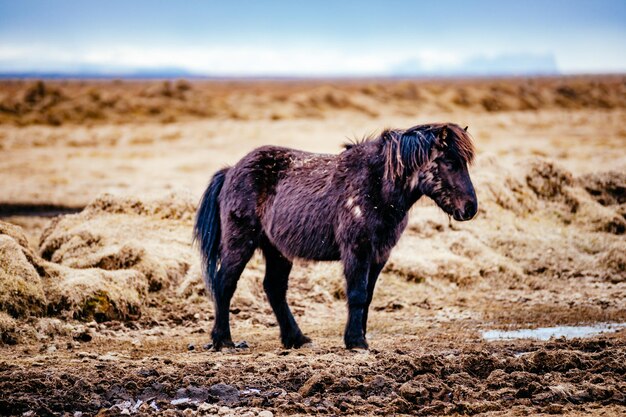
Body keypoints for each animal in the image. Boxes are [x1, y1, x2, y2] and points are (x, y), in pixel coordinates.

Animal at [193, 122, 476, 350]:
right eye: (449, 163)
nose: (470, 209)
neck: (376, 186)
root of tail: (231, 170)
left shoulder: (379, 255)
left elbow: (368, 297)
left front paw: (360, 337)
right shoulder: (357, 250)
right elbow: (357, 294)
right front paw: (356, 342)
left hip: (277, 251)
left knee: (274, 288)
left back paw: (296, 339)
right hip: (240, 242)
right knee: (224, 283)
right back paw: (224, 341)